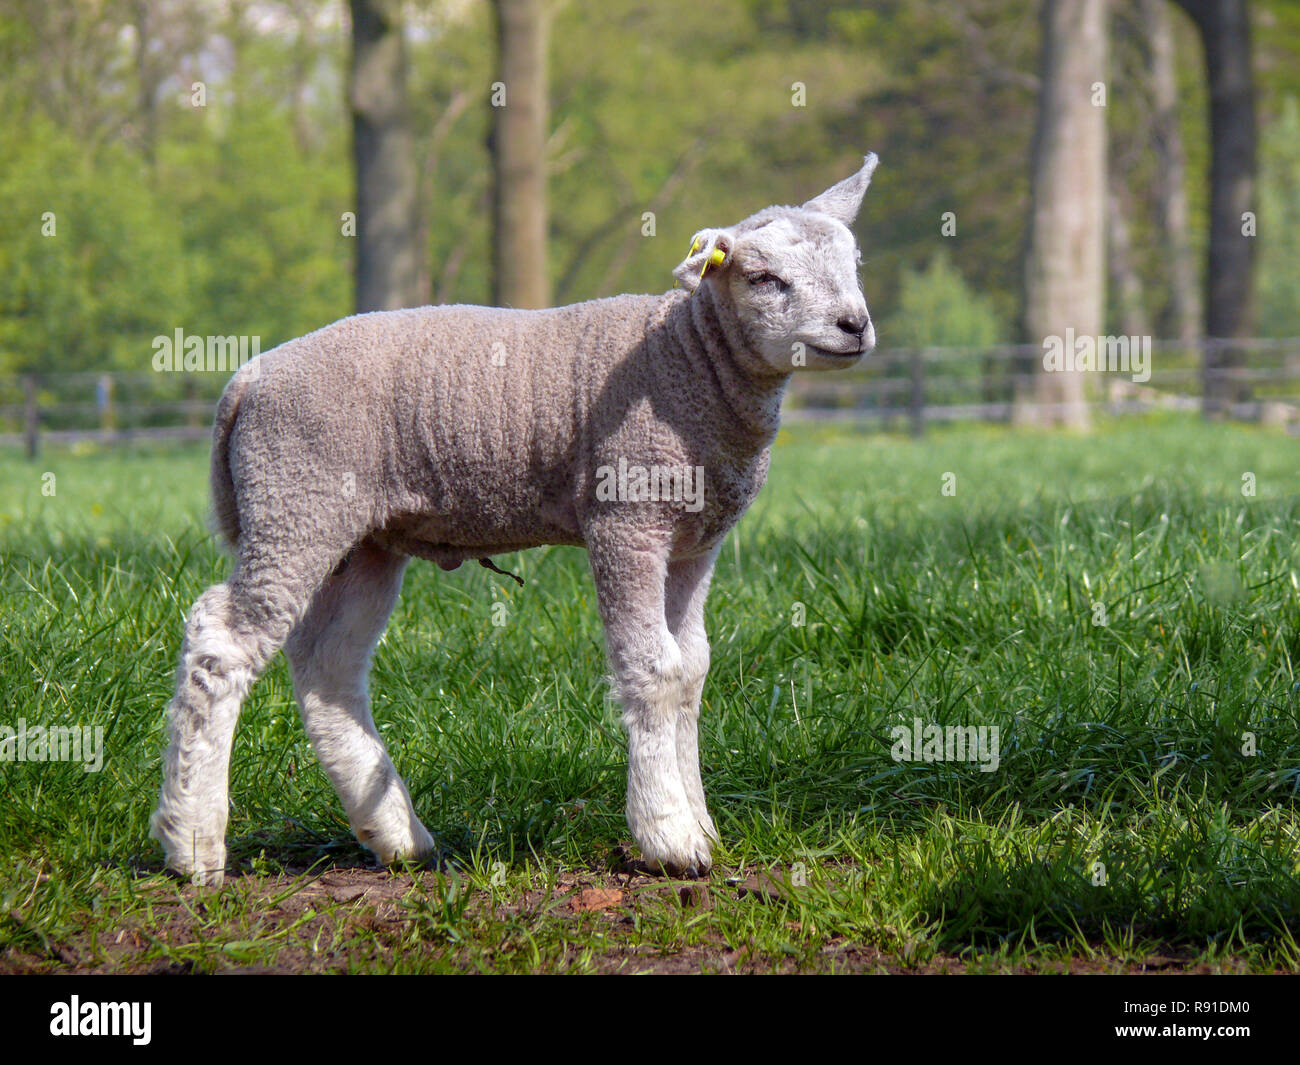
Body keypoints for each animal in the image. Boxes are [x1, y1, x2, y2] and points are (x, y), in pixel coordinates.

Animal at [152, 156, 883, 884]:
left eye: (855, 264)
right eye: (764, 278)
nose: (854, 324)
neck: (689, 362)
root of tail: (247, 378)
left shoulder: (694, 543)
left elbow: (691, 671)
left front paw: (700, 823)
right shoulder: (628, 519)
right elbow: (652, 669)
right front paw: (668, 836)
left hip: (361, 539)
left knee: (328, 665)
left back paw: (395, 835)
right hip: (295, 499)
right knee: (221, 640)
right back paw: (192, 843)